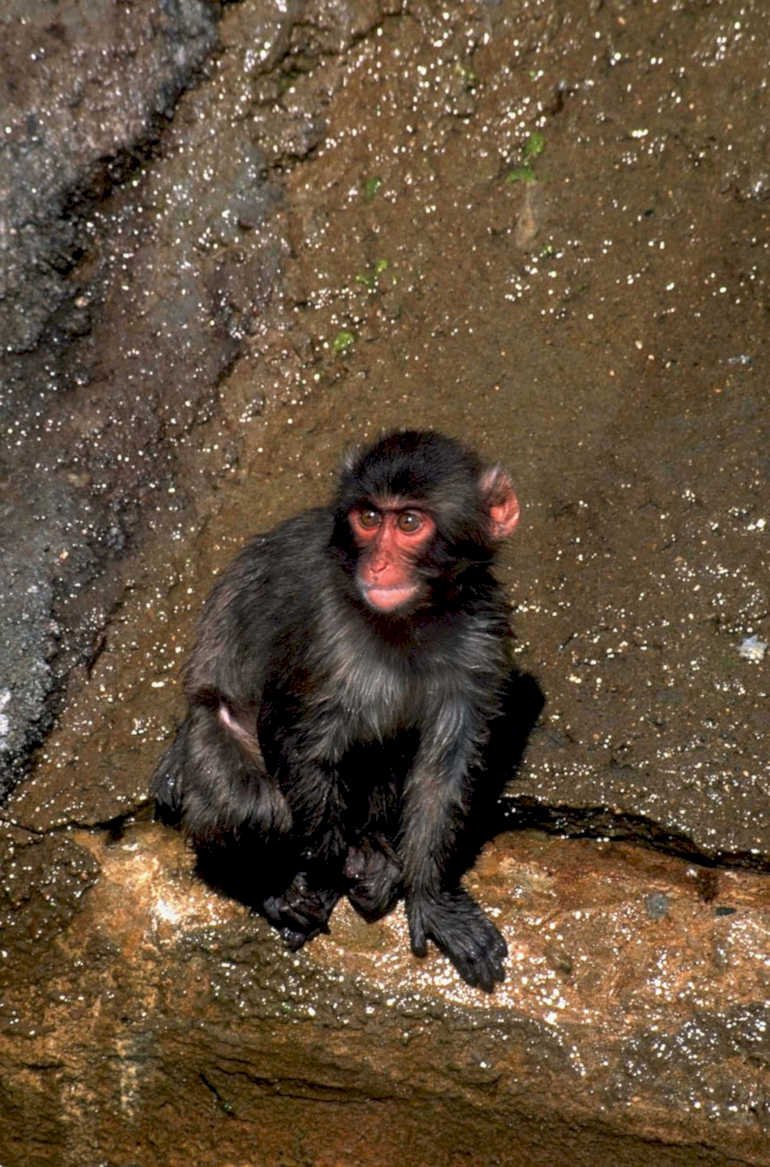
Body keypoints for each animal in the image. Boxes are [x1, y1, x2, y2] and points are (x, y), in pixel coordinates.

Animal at [152, 429, 521, 991]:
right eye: (368, 518)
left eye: (409, 523)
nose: (378, 564)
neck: (410, 621)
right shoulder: (322, 628)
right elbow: (292, 735)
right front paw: (326, 873)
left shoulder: (482, 635)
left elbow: (445, 767)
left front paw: (430, 896)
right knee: (251, 799)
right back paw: (277, 885)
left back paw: (373, 847)